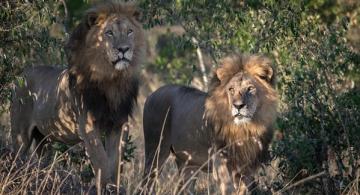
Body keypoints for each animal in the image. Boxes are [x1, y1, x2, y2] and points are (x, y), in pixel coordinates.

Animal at [9, 1, 145, 190]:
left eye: (129, 31)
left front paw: (113, 187)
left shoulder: (119, 124)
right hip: (20, 135)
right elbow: (102, 161)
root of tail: (21, 76)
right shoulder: (87, 125)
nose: (123, 49)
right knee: (16, 161)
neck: (112, 79)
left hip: (44, 138)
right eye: (109, 33)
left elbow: (115, 163)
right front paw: (105, 186)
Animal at [142, 53, 278, 195]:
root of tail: (151, 94)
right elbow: (228, 189)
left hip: (188, 164)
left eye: (250, 88)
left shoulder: (247, 166)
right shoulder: (220, 161)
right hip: (155, 152)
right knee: (146, 183)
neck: (244, 128)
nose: (238, 106)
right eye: (231, 89)